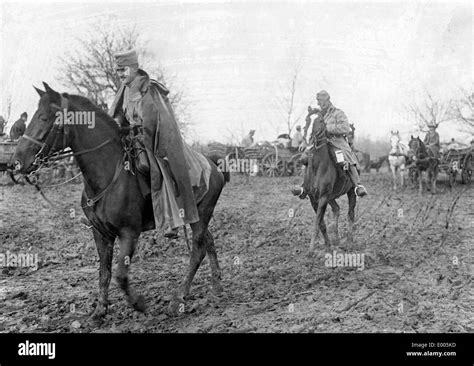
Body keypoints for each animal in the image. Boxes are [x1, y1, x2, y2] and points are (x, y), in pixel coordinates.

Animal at [13, 83, 229, 324]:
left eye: (43, 118)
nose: (17, 162)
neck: (108, 175)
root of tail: (213, 164)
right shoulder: (100, 233)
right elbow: (104, 273)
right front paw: (100, 311)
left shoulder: (129, 233)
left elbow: (120, 275)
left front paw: (139, 304)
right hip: (197, 216)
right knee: (208, 242)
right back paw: (216, 286)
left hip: (201, 215)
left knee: (197, 252)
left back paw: (178, 299)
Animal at [306, 114, 358, 252]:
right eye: (311, 122)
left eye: (321, 122)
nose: (312, 137)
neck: (318, 166)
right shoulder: (314, 198)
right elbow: (321, 223)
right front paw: (328, 245)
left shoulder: (323, 197)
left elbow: (317, 222)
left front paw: (311, 248)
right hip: (331, 197)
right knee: (336, 209)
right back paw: (336, 239)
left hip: (351, 193)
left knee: (350, 214)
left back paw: (349, 243)